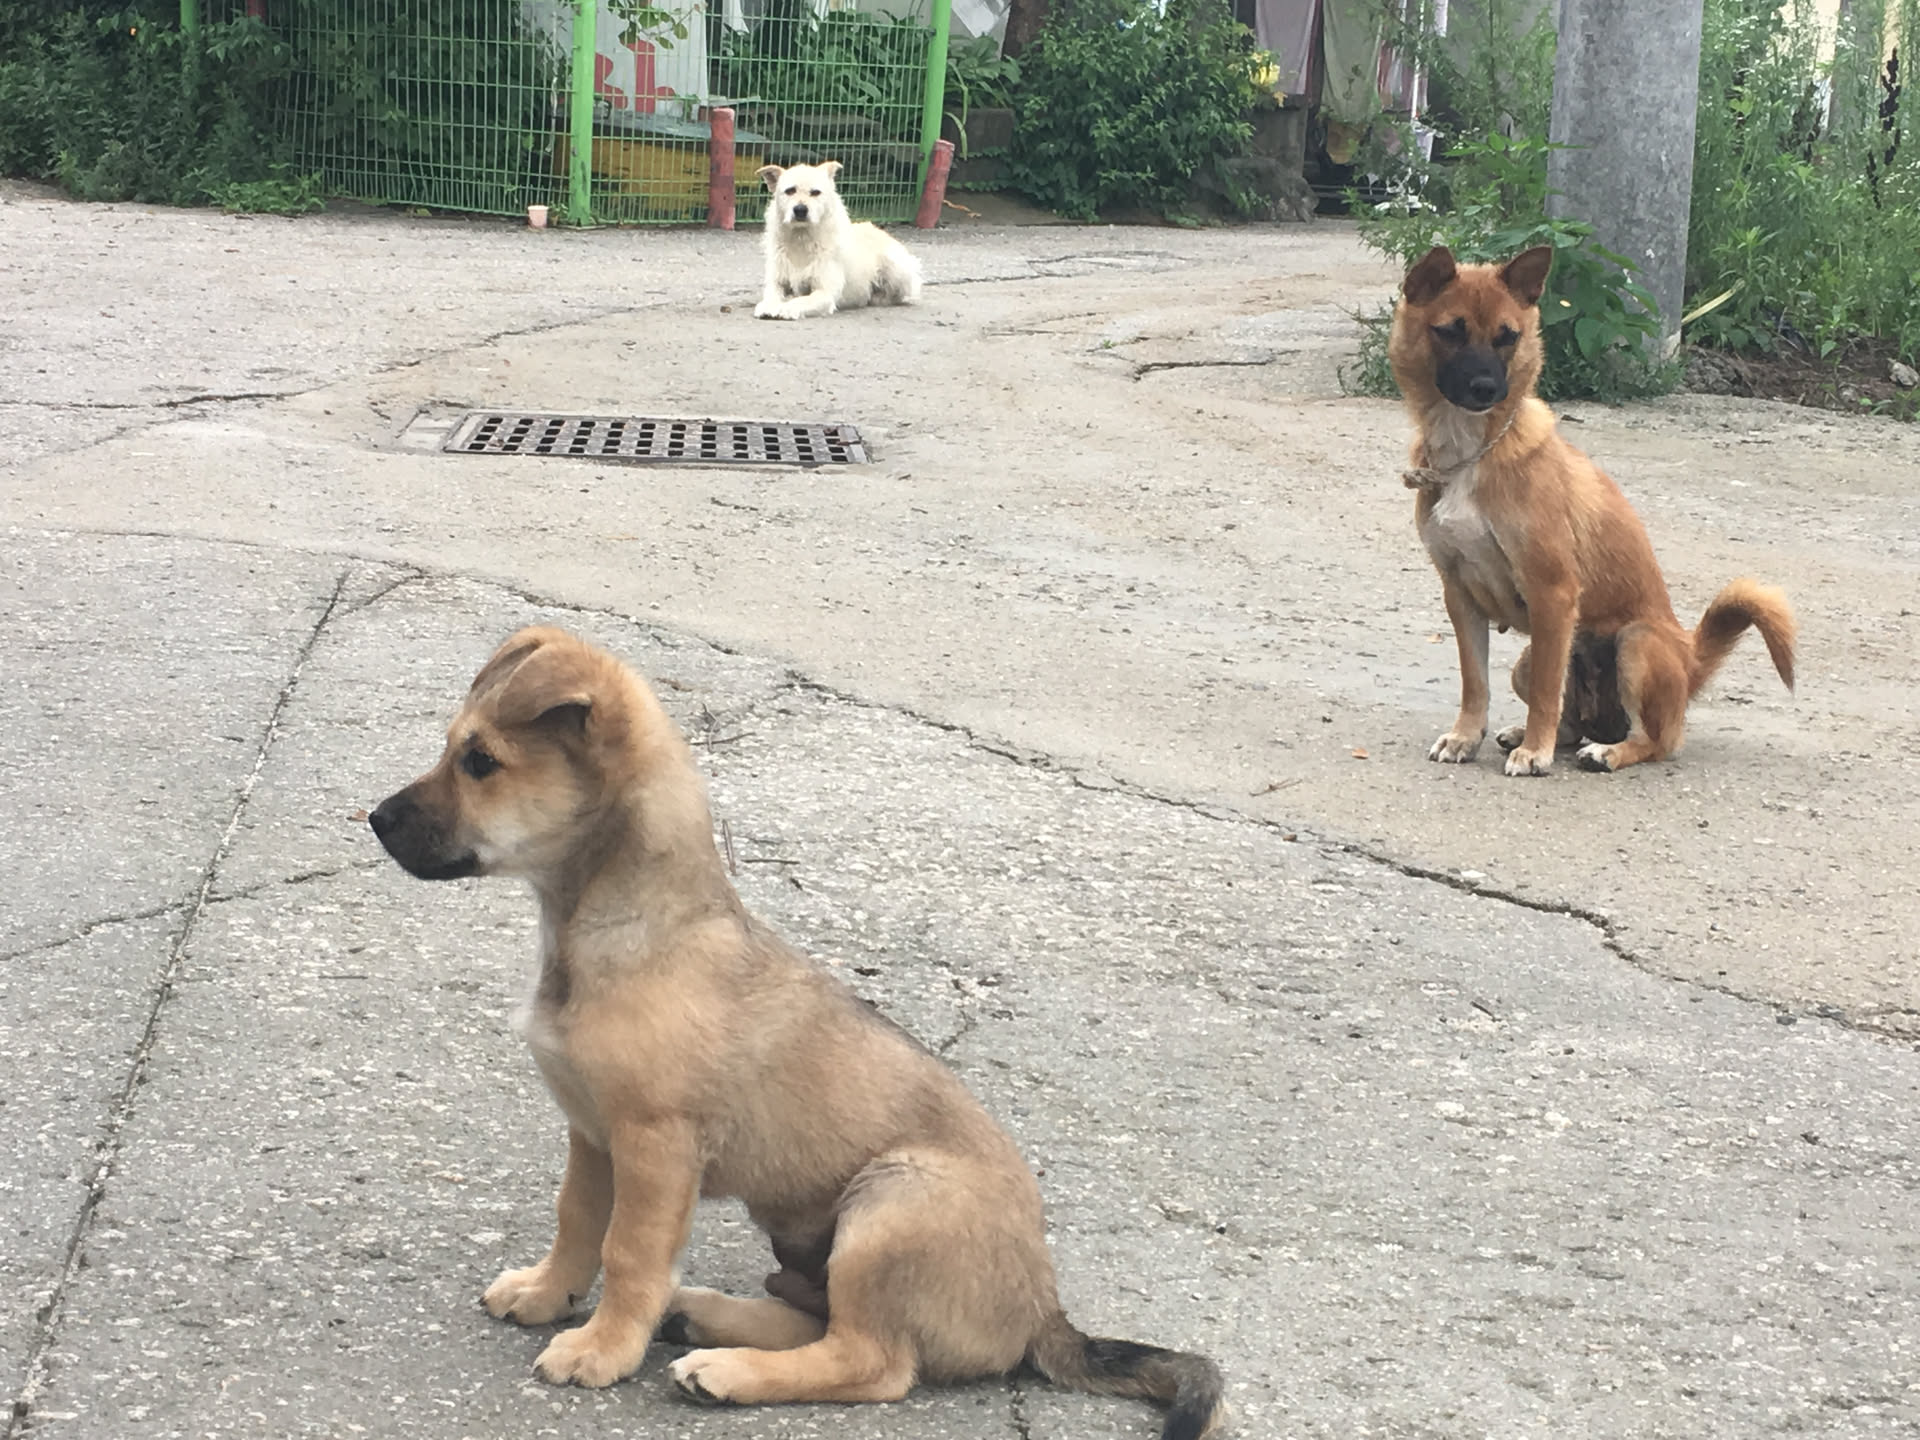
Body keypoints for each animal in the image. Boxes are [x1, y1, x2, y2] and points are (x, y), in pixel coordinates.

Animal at [368, 628, 1225, 1440]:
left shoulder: (654, 1143)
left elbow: (629, 1252)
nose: (373, 821)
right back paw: (704, 1317)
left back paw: (725, 1369)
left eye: (480, 761)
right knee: (820, 1319)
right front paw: (549, 1294)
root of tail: (1045, 1316)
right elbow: (576, 1220)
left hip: (891, 1205)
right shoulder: (593, 1134)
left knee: (874, 1360)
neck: (623, 932)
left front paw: (603, 1348)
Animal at [753, 160, 923, 320]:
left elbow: (801, 300)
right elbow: (772, 296)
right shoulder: (776, 282)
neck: (801, 239)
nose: (800, 210)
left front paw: (788, 308)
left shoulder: (824, 293)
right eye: (789, 191)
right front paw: (768, 306)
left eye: (815, 192)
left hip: (897, 268)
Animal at [1387, 245, 1796, 775]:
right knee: (1570, 720)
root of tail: (1690, 662)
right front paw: (1465, 737)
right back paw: (1533, 734)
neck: (1473, 453)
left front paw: (1534, 754)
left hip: (1635, 643)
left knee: (1652, 740)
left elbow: (1546, 693)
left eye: (1507, 337)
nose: (1486, 388)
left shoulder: (1553, 593)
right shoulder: (1460, 596)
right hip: (1531, 658)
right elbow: (1475, 682)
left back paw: (1605, 751)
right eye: (1450, 331)